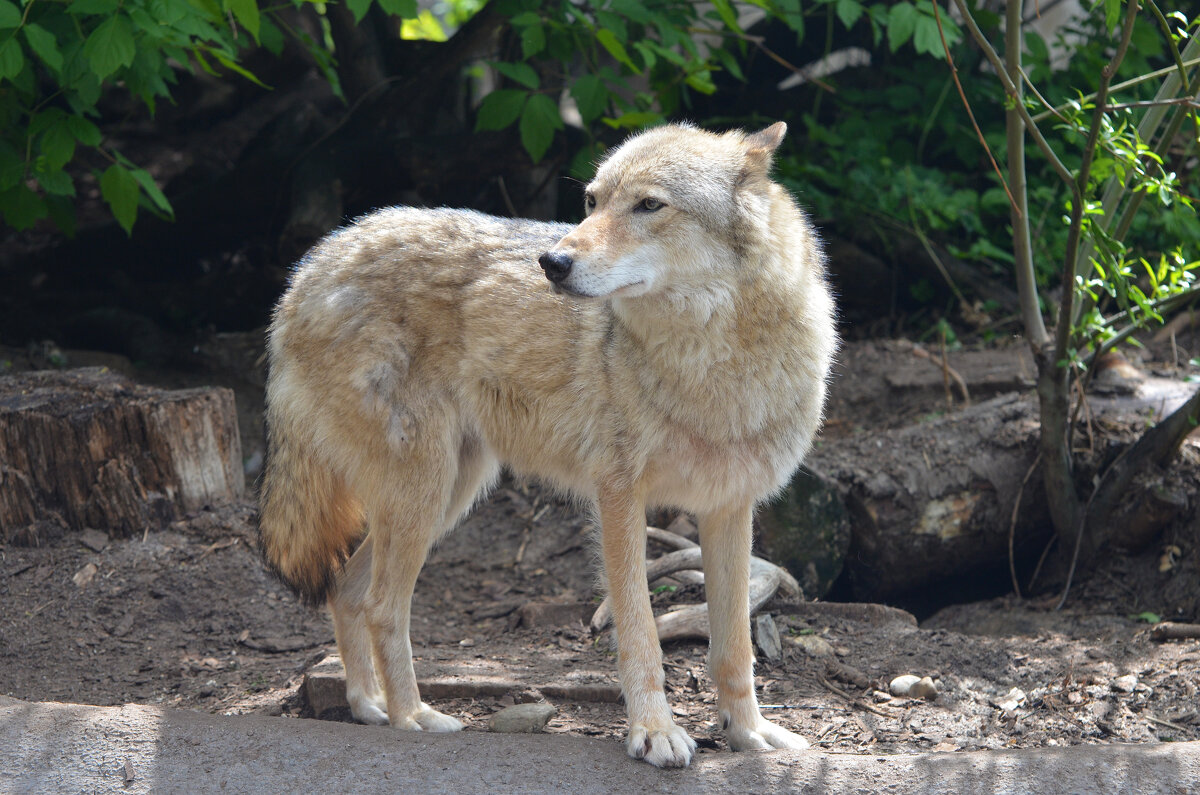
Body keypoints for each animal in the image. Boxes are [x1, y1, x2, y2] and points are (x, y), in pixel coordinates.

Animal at [255, 121, 835, 768]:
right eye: (592, 201)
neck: (713, 365)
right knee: (383, 606)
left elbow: (734, 648)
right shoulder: (618, 499)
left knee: (347, 592)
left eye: (649, 205)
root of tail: (312, 265)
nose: (552, 262)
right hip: (426, 496)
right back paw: (413, 718)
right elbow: (642, 634)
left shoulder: (728, 508)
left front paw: (750, 735)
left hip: (446, 496)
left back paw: (366, 707)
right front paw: (655, 733)